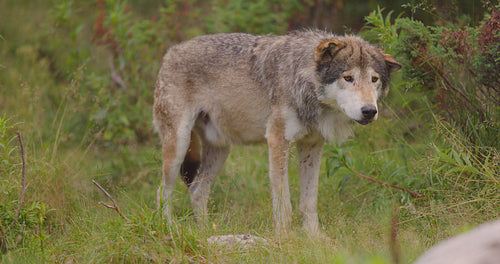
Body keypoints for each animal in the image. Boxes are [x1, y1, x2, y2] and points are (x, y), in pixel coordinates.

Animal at [152, 29, 402, 234]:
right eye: (348, 78)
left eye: (374, 79)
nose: (369, 111)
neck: (303, 82)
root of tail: (170, 52)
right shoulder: (277, 141)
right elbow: (284, 204)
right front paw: (285, 238)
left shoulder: (312, 145)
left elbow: (308, 201)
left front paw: (314, 239)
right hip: (179, 146)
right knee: (162, 191)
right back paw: (168, 229)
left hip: (220, 150)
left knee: (197, 190)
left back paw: (205, 233)